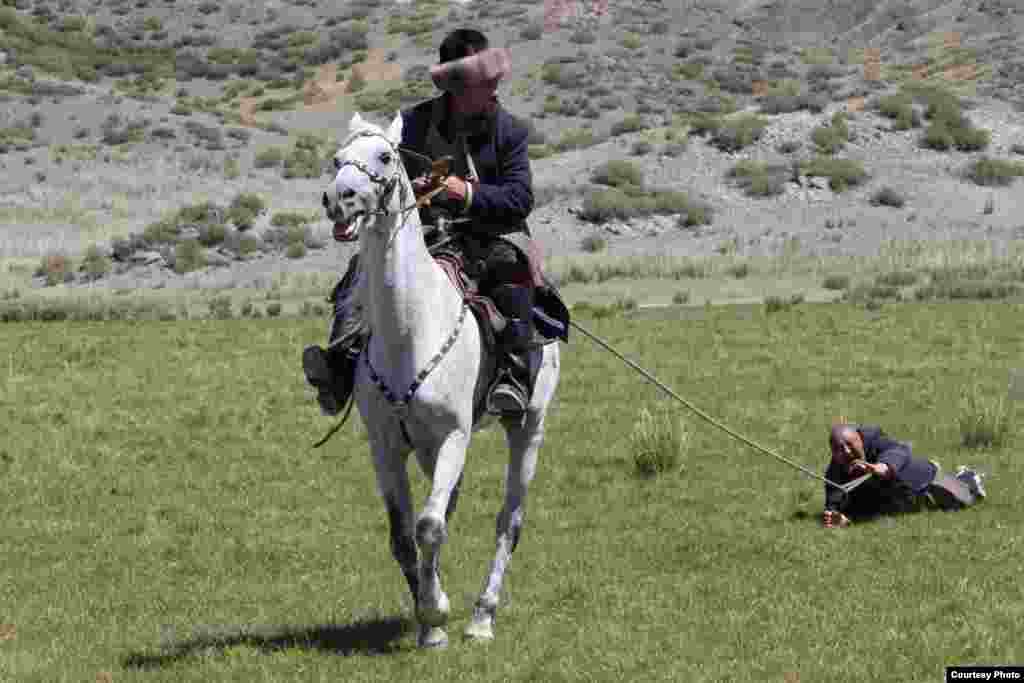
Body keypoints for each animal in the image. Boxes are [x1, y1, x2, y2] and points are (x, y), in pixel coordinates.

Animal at [321, 111, 561, 647]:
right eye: (337, 157)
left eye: (384, 156)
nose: (338, 197)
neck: (410, 330)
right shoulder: (387, 446)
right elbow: (405, 534)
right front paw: (428, 619)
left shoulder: (455, 434)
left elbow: (429, 526)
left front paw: (436, 612)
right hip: (432, 449)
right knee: (446, 508)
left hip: (528, 427)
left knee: (508, 521)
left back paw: (482, 617)